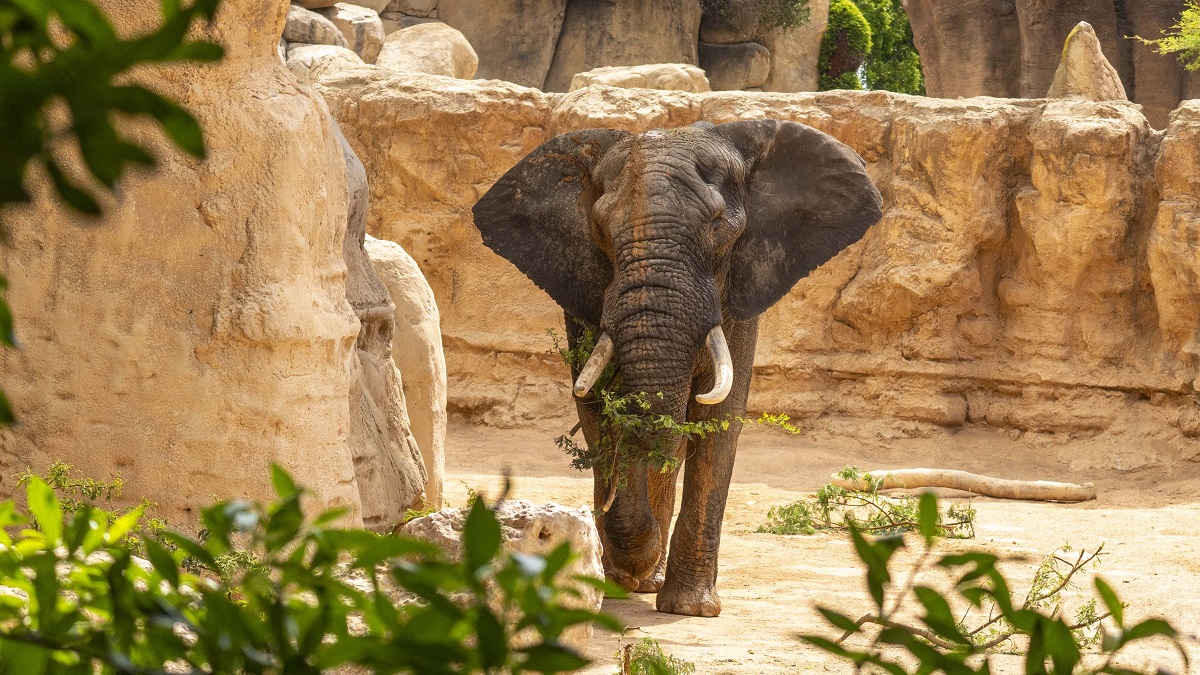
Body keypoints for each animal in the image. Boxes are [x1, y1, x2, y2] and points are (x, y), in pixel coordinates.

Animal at [472, 120, 883, 617]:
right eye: (600, 230)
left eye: (717, 226)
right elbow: (598, 411)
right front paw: (630, 564)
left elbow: (719, 421)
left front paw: (691, 608)